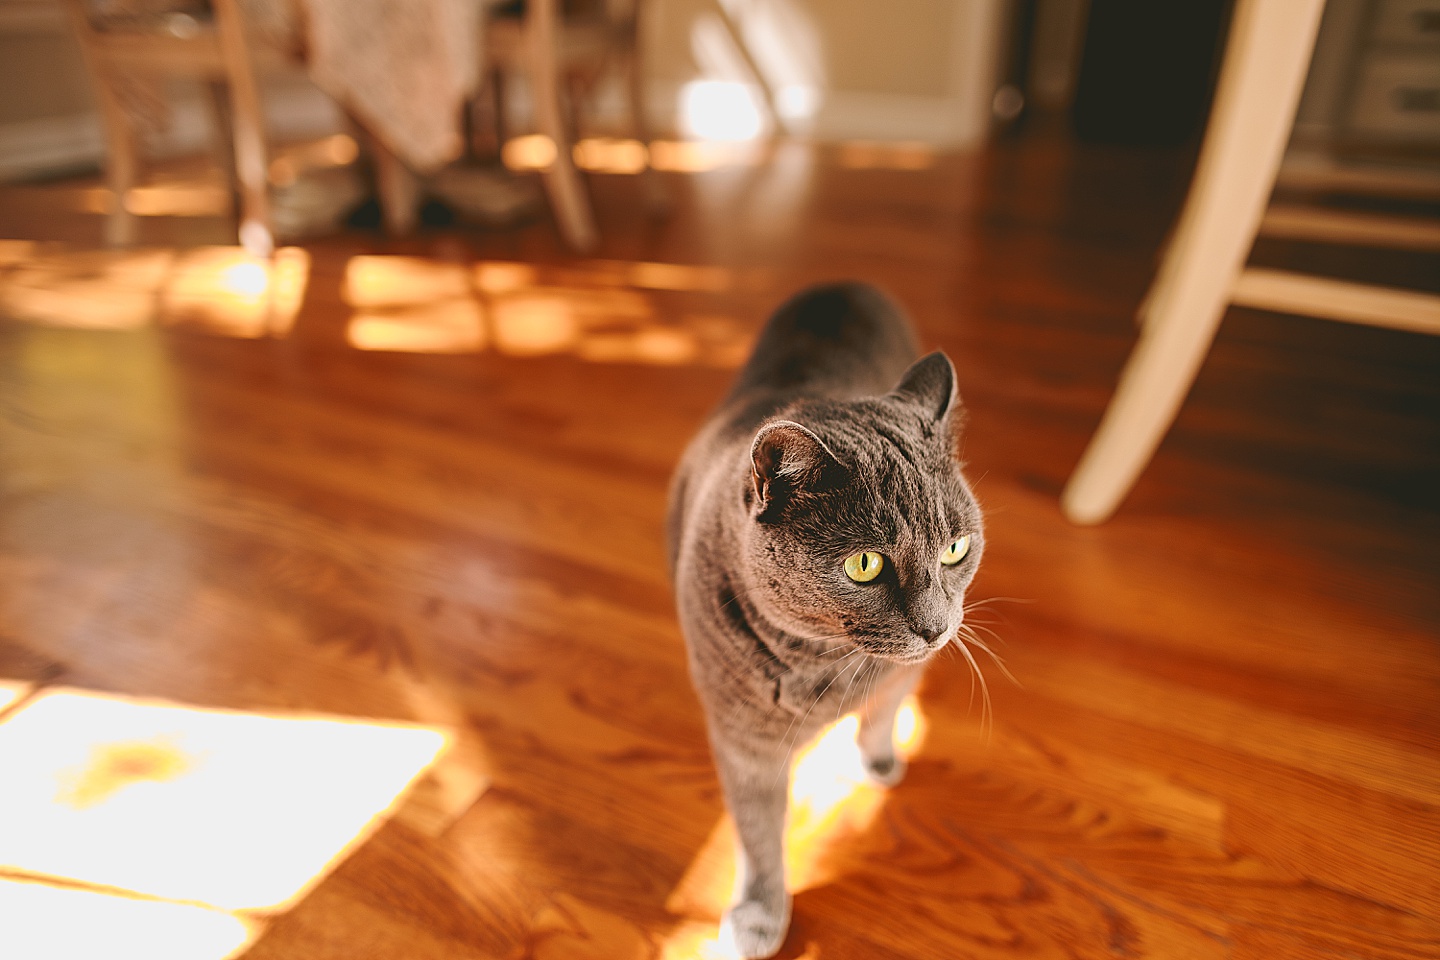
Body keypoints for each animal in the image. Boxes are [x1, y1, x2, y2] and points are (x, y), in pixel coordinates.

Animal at [668, 282, 984, 955]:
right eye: (865, 564)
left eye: (955, 548)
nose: (936, 627)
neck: (828, 665)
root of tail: (843, 285)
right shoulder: (745, 742)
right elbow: (759, 833)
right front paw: (759, 917)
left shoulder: (906, 673)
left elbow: (885, 712)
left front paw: (880, 762)